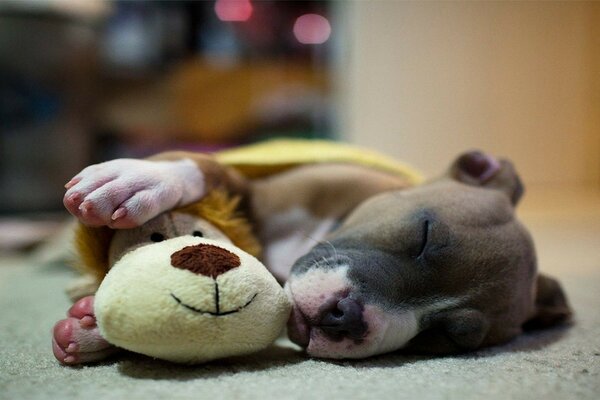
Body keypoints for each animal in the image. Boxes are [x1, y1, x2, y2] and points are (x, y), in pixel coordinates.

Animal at [54, 147, 568, 362]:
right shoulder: (259, 189)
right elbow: (208, 168)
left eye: (450, 337)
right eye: (424, 234)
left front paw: (91, 329)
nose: (347, 317)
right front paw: (139, 180)